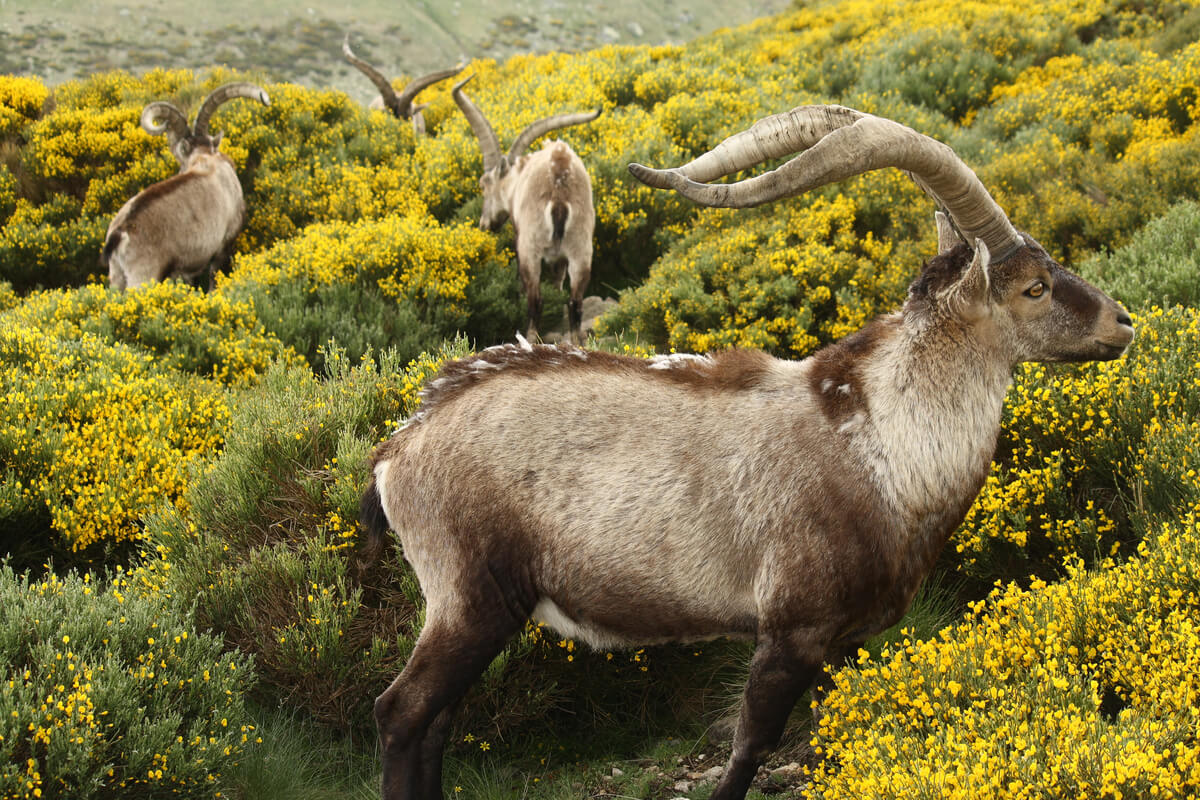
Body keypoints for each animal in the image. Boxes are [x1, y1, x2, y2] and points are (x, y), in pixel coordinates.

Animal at [359, 104, 1135, 800]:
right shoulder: (792, 630)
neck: (882, 441)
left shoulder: (843, 644)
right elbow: (748, 750)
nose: (1122, 321)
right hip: (469, 596)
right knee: (400, 714)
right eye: (1034, 287)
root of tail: (400, 449)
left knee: (436, 723)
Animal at [452, 74, 600, 344]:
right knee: (575, 302)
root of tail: (559, 191)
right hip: (581, 248)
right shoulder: (560, 258)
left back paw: (528, 340)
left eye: (483, 184)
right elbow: (558, 285)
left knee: (536, 300)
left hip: (531, 247)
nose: (485, 224)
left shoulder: (521, 238)